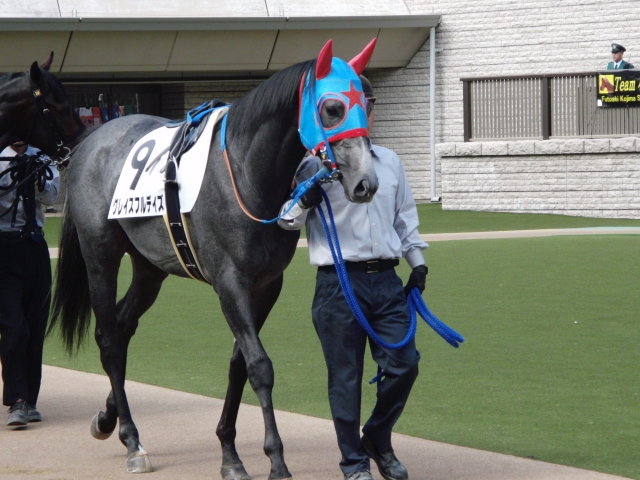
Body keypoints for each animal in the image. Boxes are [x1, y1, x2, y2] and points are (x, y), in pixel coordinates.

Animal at [49, 39, 379, 479]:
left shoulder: (266, 285)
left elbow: (240, 363)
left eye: (369, 100)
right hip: (100, 255)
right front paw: (275, 459)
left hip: (150, 268)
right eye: (332, 108)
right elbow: (260, 365)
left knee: (122, 324)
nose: (365, 183)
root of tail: (90, 140)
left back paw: (107, 418)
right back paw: (132, 439)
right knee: (109, 339)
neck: (245, 170)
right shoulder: (230, 281)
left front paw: (229, 451)